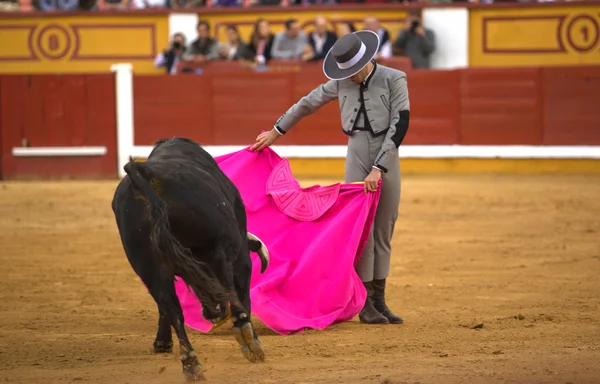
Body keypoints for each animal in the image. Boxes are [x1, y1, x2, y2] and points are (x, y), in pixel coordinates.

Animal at [112, 138, 270, 380]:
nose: (210, 312)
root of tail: (142, 173)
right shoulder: (237, 249)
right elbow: (239, 286)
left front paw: (162, 343)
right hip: (221, 243)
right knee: (227, 283)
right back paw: (246, 336)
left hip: (147, 263)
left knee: (170, 306)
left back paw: (191, 363)